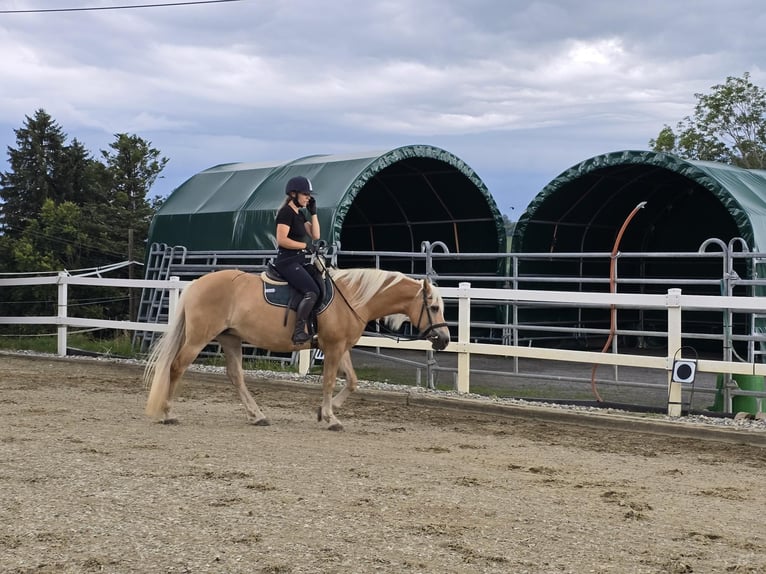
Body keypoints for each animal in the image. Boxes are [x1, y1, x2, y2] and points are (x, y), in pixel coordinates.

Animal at [146, 268, 450, 430]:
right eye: (434, 307)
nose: (444, 340)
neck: (351, 298)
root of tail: (197, 283)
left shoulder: (341, 347)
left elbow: (352, 382)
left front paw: (324, 411)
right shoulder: (333, 348)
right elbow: (329, 381)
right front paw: (330, 418)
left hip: (230, 339)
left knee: (236, 376)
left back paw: (257, 415)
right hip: (199, 338)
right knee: (177, 367)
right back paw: (169, 413)